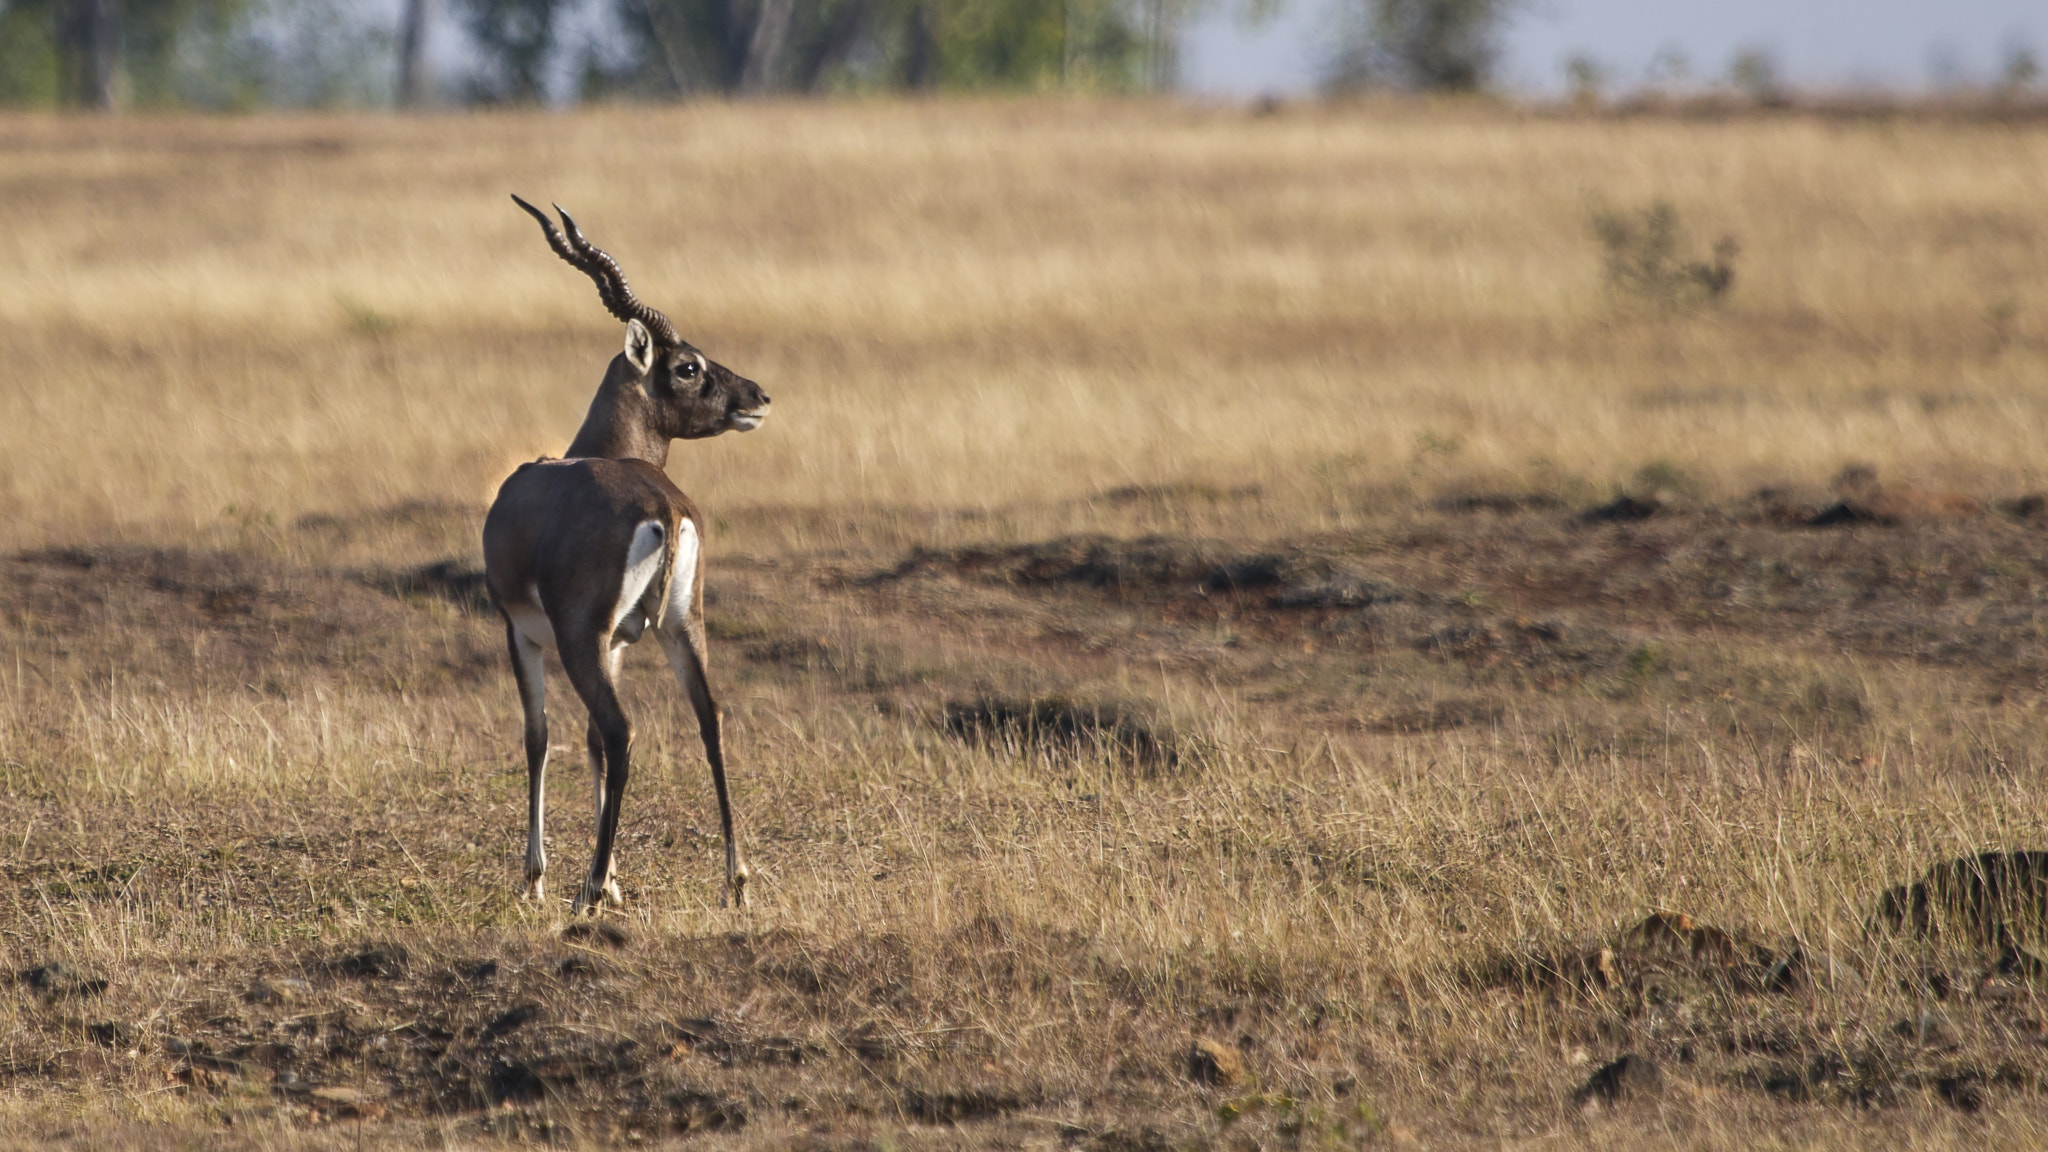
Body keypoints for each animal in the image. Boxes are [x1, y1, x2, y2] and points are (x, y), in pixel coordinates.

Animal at [485, 199, 770, 914]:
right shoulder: (618, 640)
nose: (758, 397)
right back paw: (735, 880)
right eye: (689, 365)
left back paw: (584, 892)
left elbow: (540, 735)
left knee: (621, 729)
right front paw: (613, 877)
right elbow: (585, 743)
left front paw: (538, 877)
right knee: (708, 718)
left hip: (580, 638)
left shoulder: (523, 632)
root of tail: (664, 507)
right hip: (682, 625)